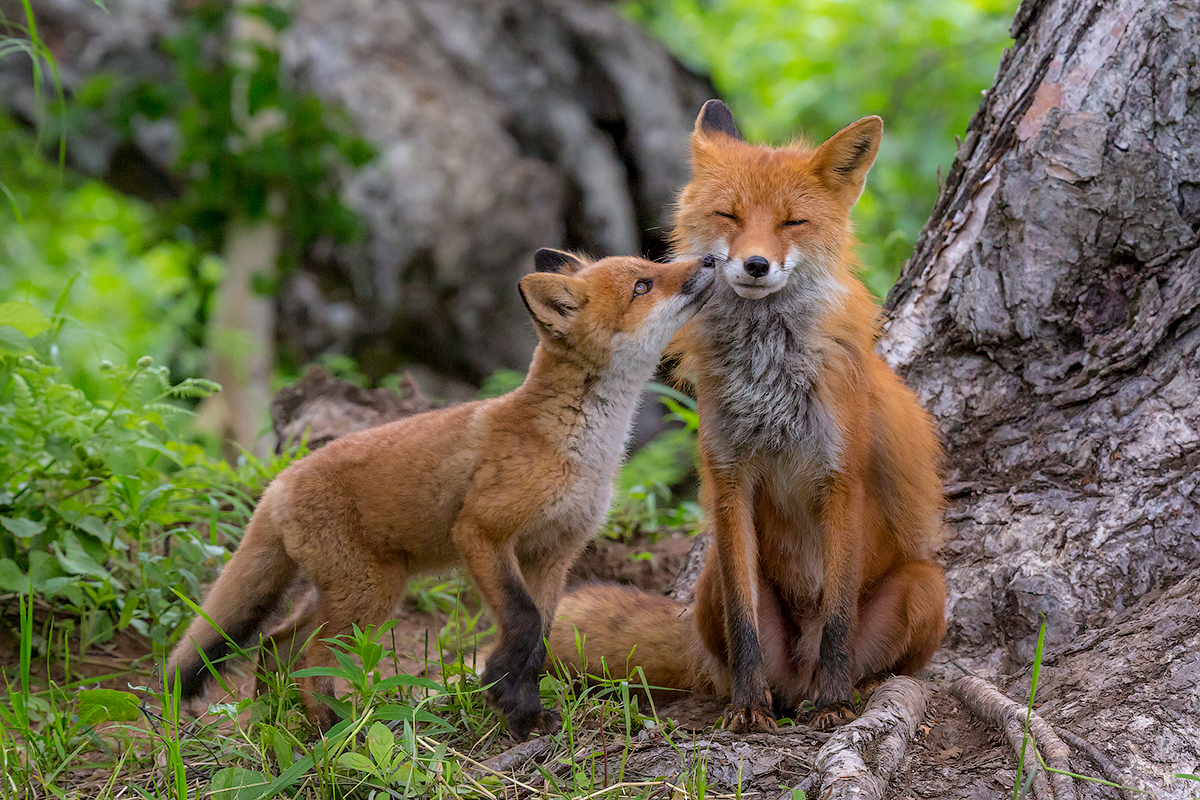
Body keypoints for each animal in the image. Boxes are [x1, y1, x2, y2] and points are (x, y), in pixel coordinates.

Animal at [168, 248, 710, 738]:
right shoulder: (481, 532)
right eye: (643, 285)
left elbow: (539, 639)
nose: (709, 259)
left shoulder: (555, 552)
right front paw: (503, 692)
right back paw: (332, 733)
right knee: (311, 657)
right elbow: (523, 621)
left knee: (277, 645)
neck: (577, 446)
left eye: (651, 264)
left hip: (346, 592)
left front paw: (524, 714)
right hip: (372, 593)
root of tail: (280, 479)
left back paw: (274, 724)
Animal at [547, 101, 945, 734]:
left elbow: (837, 614)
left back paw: (850, 689)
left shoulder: (841, 480)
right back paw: (757, 694)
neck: (769, 383)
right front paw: (747, 706)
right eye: (728, 215)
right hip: (710, 579)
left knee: (875, 658)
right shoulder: (730, 477)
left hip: (927, 587)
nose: (755, 265)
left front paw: (835, 704)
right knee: (726, 651)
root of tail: (798, 674)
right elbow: (743, 617)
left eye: (792, 223)